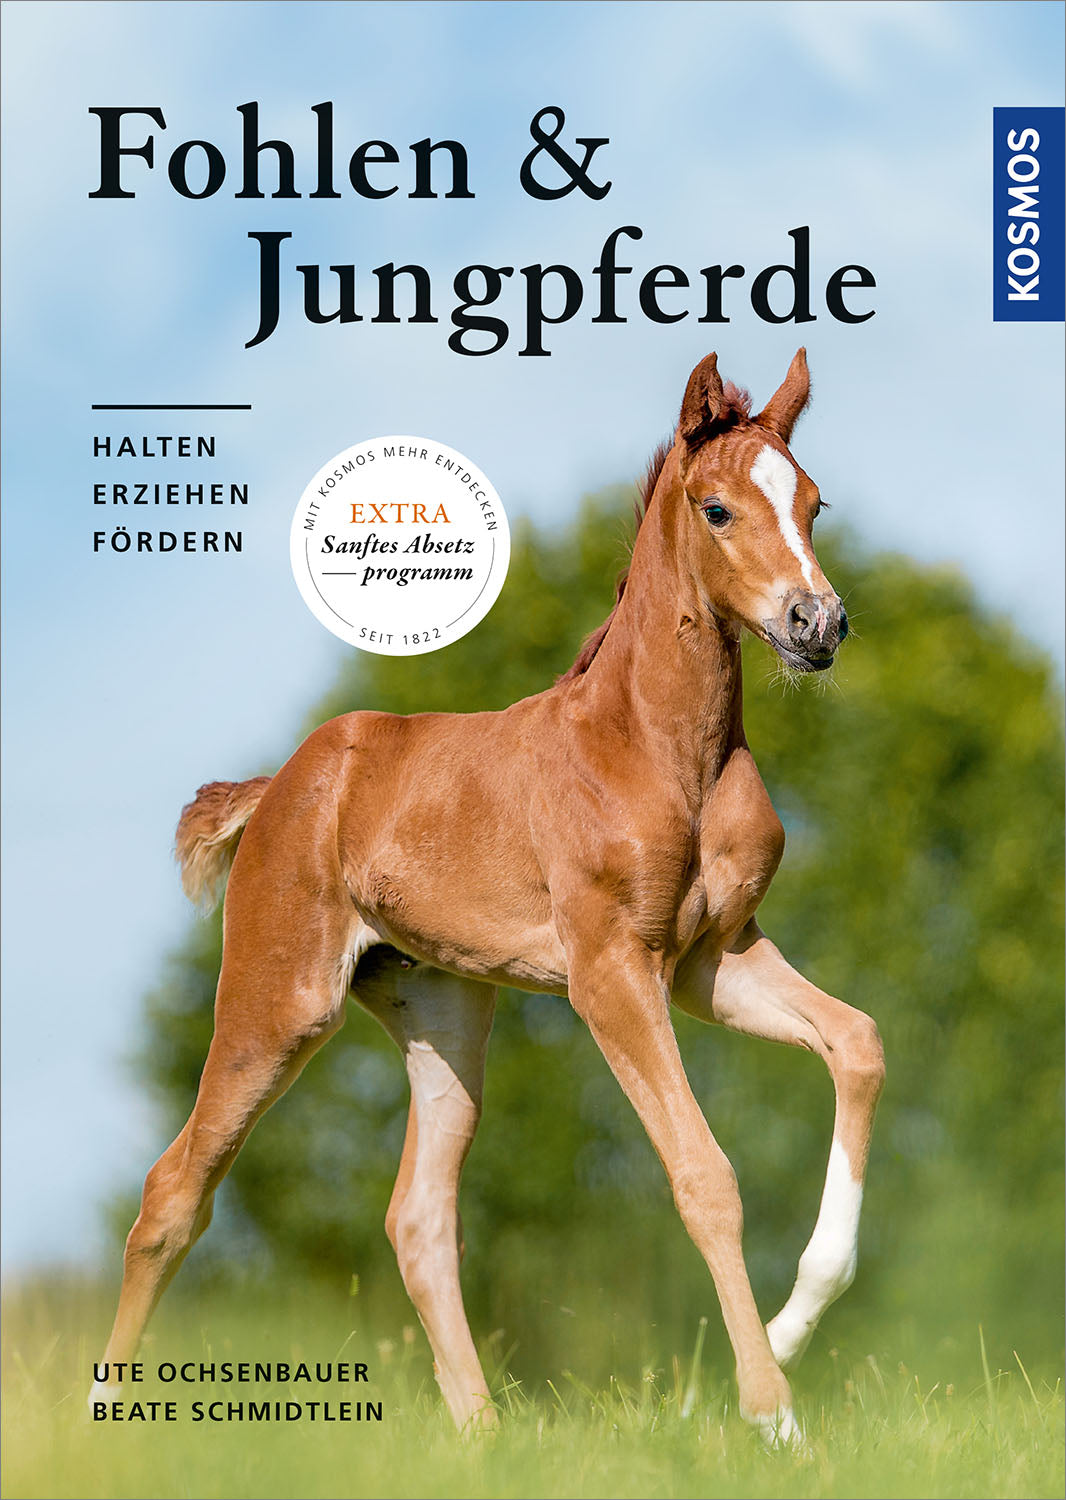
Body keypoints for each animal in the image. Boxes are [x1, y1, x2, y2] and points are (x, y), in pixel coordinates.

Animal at [92, 349, 884, 1447]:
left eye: (814, 503)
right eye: (718, 508)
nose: (818, 625)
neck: (656, 747)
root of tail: (279, 784)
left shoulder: (709, 962)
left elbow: (858, 1041)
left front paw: (785, 1334)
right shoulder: (610, 973)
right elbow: (704, 1175)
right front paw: (771, 1419)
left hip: (444, 1009)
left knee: (418, 1218)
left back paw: (482, 1437)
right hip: (279, 999)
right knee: (174, 1191)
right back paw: (104, 1419)